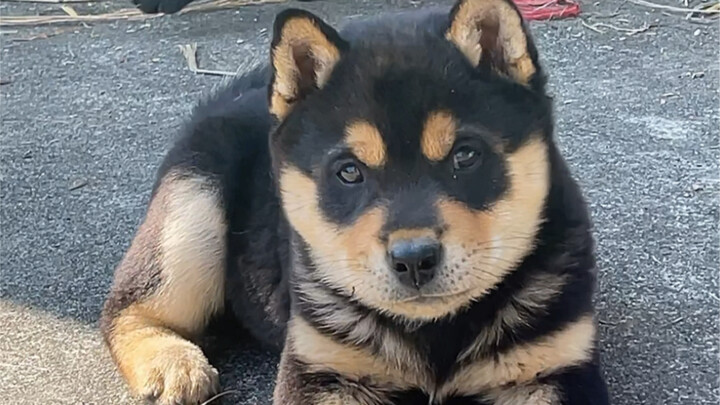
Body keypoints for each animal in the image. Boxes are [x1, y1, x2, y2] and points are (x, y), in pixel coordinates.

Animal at [100, 1, 608, 402]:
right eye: (349, 172)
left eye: (465, 156)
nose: (414, 259)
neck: (434, 332)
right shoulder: (321, 365)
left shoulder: (554, 364)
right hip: (191, 206)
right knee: (126, 310)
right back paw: (172, 363)